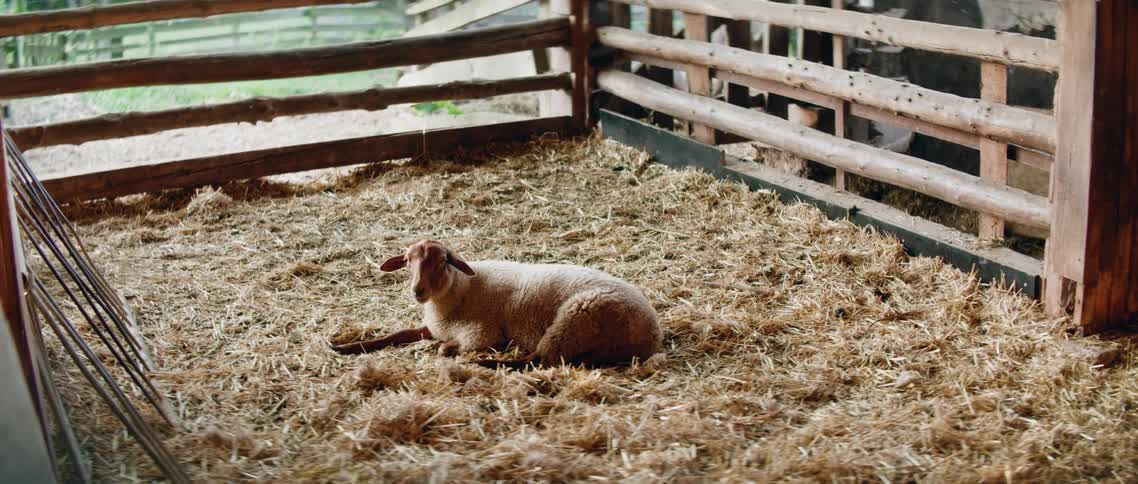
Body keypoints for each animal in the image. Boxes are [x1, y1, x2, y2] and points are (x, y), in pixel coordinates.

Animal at [331, 239, 664, 369]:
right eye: (407, 261)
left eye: (442, 262)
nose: (417, 291)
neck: (460, 291)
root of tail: (653, 333)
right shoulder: (434, 327)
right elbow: (396, 334)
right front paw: (345, 347)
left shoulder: (479, 333)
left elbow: (444, 349)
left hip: (574, 319)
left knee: (540, 359)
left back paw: (485, 363)